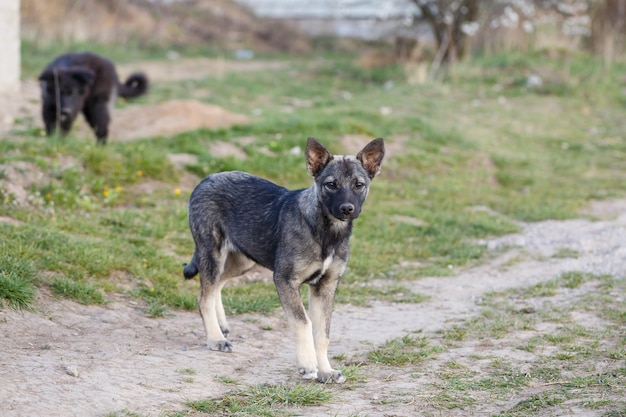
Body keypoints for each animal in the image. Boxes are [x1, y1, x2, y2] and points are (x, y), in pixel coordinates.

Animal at [183, 136, 382, 380]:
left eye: (359, 185)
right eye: (331, 184)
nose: (347, 209)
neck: (326, 232)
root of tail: (206, 179)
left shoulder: (325, 286)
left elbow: (322, 334)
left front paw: (325, 370)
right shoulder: (285, 280)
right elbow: (303, 322)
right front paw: (308, 364)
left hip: (243, 259)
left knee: (215, 287)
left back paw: (221, 326)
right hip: (213, 254)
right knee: (204, 296)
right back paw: (215, 339)